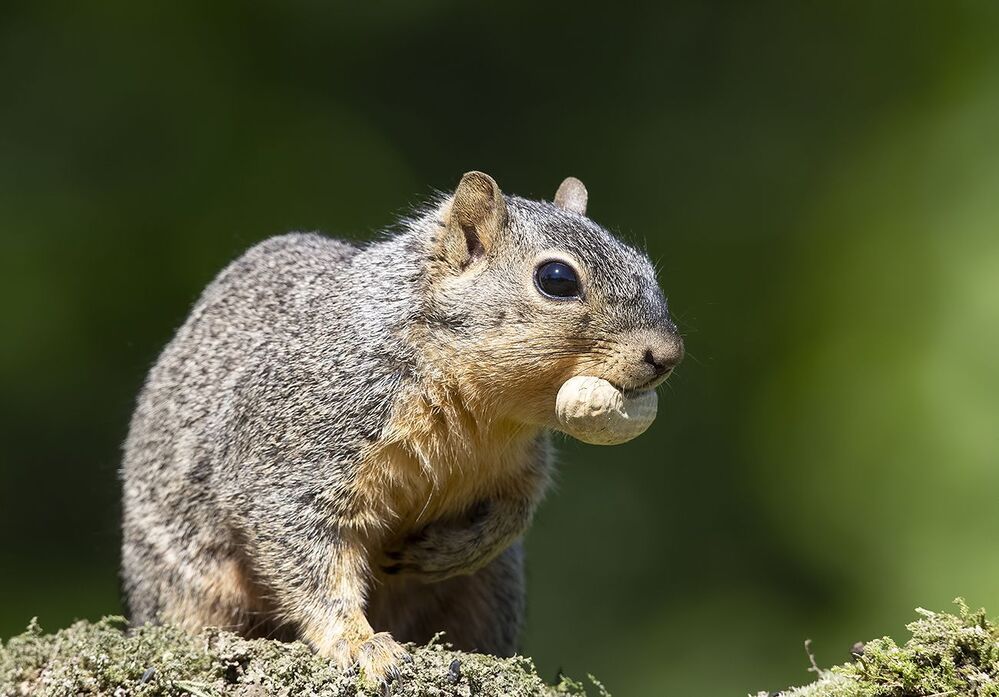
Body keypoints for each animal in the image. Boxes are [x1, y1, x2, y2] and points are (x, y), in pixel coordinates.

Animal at [120, 171, 683, 688]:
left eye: (641, 261)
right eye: (557, 279)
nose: (667, 354)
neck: (480, 410)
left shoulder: (522, 467)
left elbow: (512, 516)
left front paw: (439, 554)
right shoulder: (296, 449)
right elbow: (307, 557)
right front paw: (360, 645)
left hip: (491, 593)